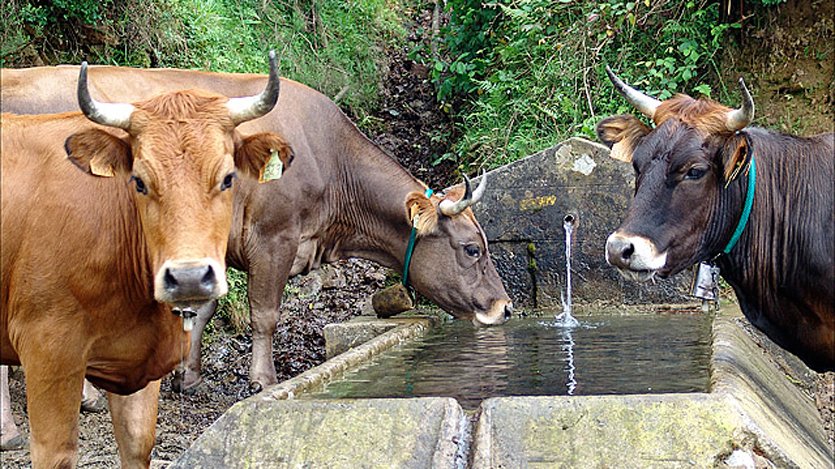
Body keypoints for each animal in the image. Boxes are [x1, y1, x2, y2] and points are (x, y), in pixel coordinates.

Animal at [0, 53, 294, 466]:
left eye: (228, 178)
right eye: (139, 181)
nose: (189, 277)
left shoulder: (141, 360)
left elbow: (138, 443)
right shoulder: (47, 350)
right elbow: (56, 453)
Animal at [1, 63, 516, 392]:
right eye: (472, 248)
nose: (505, 307)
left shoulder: (216, 249)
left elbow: (204, 311)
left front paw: (189, 377)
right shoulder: (274, 238)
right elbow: (264, 313)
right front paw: (262, 380)